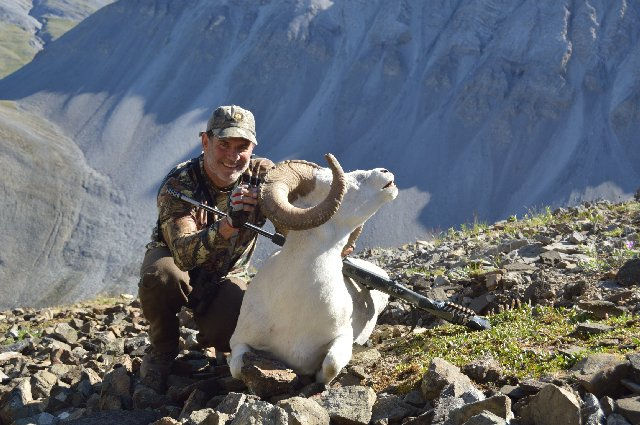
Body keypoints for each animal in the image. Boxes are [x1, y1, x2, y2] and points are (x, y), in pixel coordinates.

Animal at [229, 153, 398, 384]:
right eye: (334, 183)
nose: (385, 172)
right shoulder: (238, 342)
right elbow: (237, 369)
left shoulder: (342, 338)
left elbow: (331, 365)